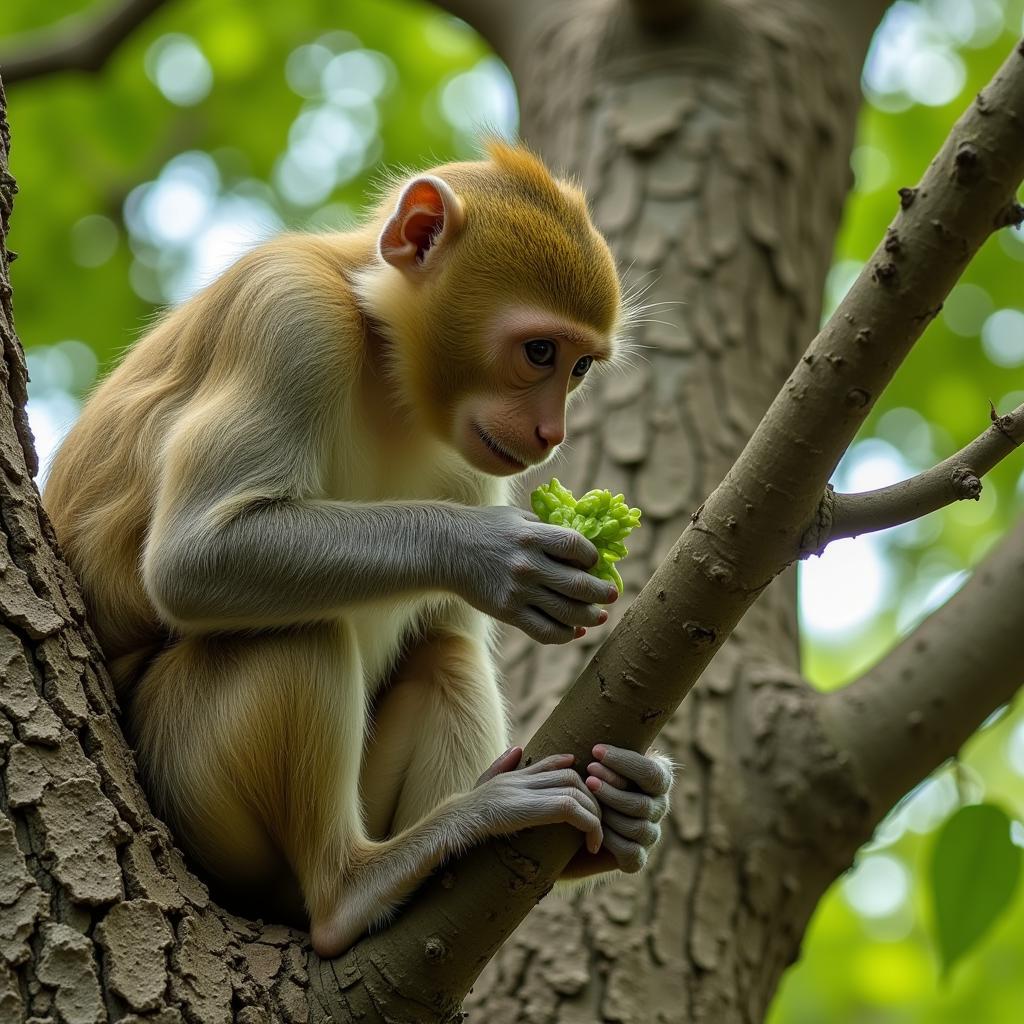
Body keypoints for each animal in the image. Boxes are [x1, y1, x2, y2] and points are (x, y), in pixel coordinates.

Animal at [46, 140, 671, 954]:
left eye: (581, 366)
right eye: (540, 351)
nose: (549, 434)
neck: (380, 355)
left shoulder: (473, 465)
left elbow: (443, 628)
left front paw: (626, 810)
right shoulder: (289, 317)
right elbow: (193, 557)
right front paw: (495, 556)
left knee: (443, 652)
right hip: (188, 782)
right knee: (296, 631)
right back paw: (356, 887)